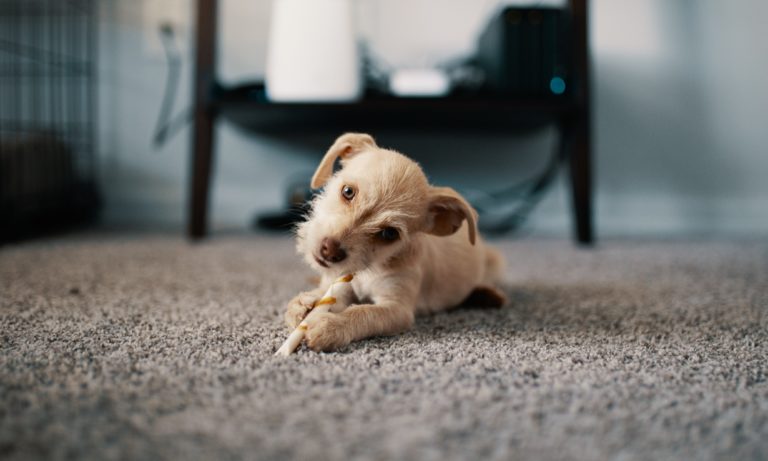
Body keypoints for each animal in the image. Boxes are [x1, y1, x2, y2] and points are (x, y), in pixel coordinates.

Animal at [284, 131, 508, 350]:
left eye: (389, 234)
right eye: (347, 192)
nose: (330, 251)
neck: (370, 269)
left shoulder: (397, 309)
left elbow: (364, 313)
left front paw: (330, 325)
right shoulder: (340, 285)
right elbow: (327, 295)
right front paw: (305, 303)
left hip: (495, 262)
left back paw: (487, 295)